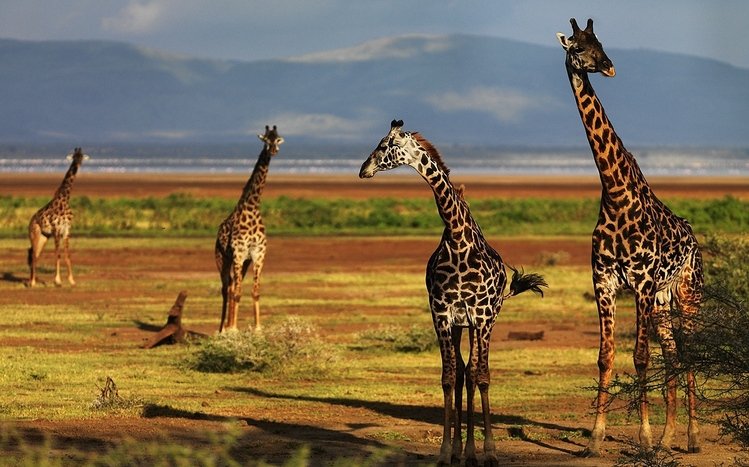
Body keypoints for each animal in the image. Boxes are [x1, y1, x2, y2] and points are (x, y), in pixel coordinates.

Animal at [27, 147, 89, 287]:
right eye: (74, 157)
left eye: (81, 156)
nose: (76, 165)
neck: (65, 200)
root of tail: (30, 221)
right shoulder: (56, 229)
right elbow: (57, 254)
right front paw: (58, 281)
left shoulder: (66, 230)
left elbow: (67, 255)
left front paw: (71, 280)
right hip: (35, 234)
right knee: (33, 254)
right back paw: (32, 282)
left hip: (44, 236)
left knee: (35, 254)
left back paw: (33, 280)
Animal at [215, 125, 283, 332]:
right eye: (265, 140)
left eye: (277, 139)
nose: (273, 151)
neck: (252, 207)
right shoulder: (238, 253)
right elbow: (236, 292)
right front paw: (232, 329)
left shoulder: (257, 254)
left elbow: (254, 292)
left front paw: (258, 329)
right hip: (223, 258)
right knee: (226, 288)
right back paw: (223, 328)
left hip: (243, 262)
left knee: (233, 286)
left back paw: (229, 325)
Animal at [360, 120, 547, 466]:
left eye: (385, 145)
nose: (364, 169)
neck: (458, 237)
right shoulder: (443, 315)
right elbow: (449, 378)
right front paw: (446, 451)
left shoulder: (481, 316)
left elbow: (481, 376)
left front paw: (489, 452)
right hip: (460, 325)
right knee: (461, 373)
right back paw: (462, 450)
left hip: (482, 321)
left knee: (473, 374)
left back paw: (474, 451)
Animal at [557, 19, 704, 456]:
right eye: (579, 47)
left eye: (601, 42)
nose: (608, 66)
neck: (615, 195)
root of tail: (694, 239)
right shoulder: (604, 283)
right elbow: (605, 357)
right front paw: (595, 437)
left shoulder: (640, 284)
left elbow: (640, 357)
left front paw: (643, 437)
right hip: (663, 299)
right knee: (673, 355)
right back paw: (671, 436)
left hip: (687, 293)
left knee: (688, 354)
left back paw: (691, 438)